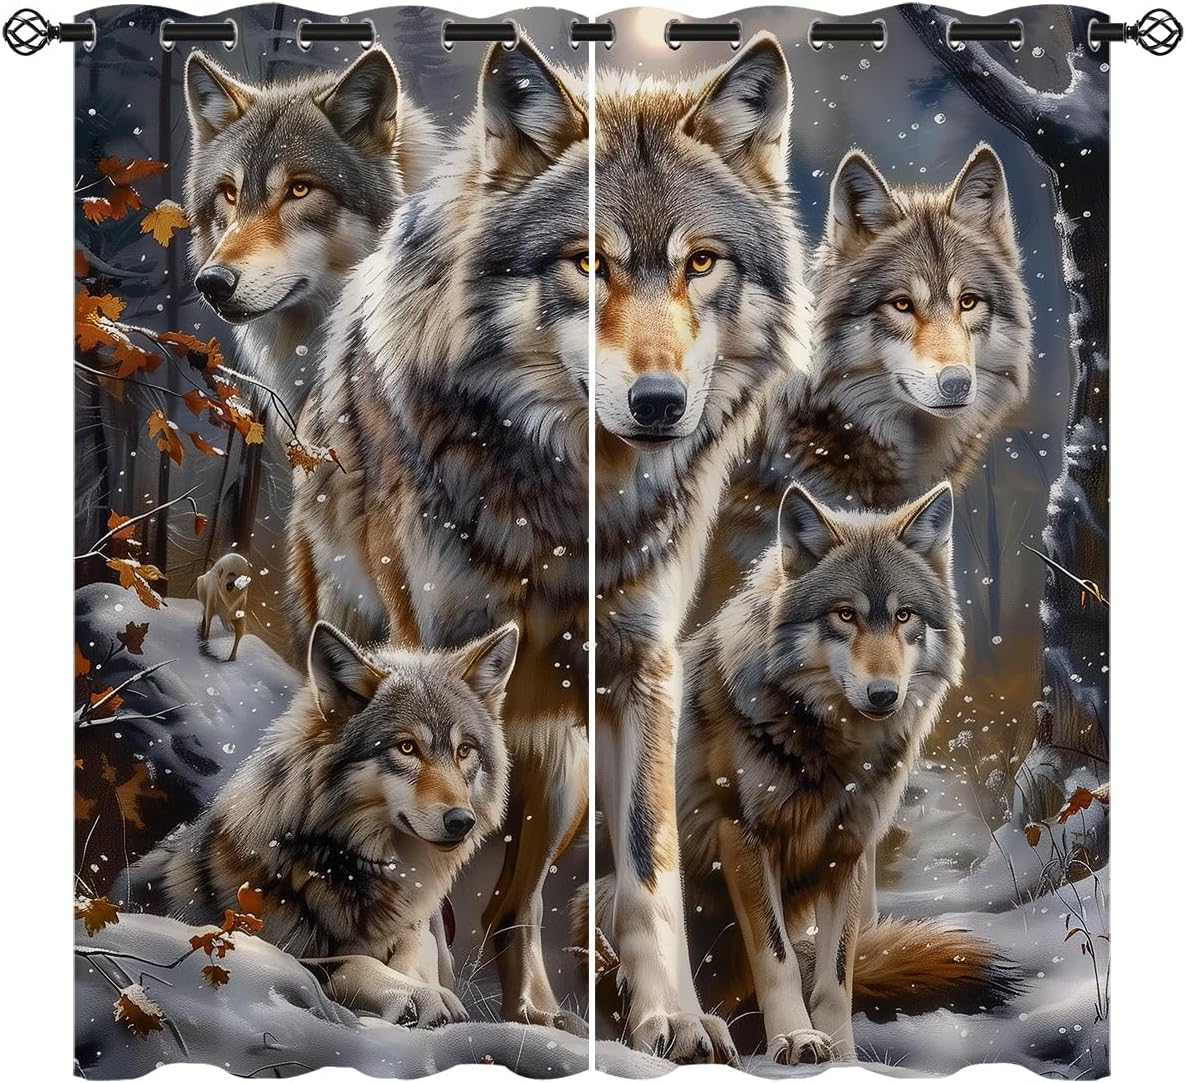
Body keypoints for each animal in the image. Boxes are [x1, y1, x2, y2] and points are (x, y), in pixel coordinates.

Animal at [130, 619, 516, 1027]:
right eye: (407, 747)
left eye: (464, 751)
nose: (462, 821)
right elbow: (351, 960)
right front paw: (420, 996)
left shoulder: (418, 928)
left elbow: (416, 947)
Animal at [677, 482, 1017, 1063]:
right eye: (844, 615)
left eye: (903, 617)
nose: (884, 695)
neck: (833, 753)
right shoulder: (740, 836)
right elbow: (780, 959)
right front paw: (796, 1038)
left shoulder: (849, 850)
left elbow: (837, 978)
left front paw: (846, 1058)